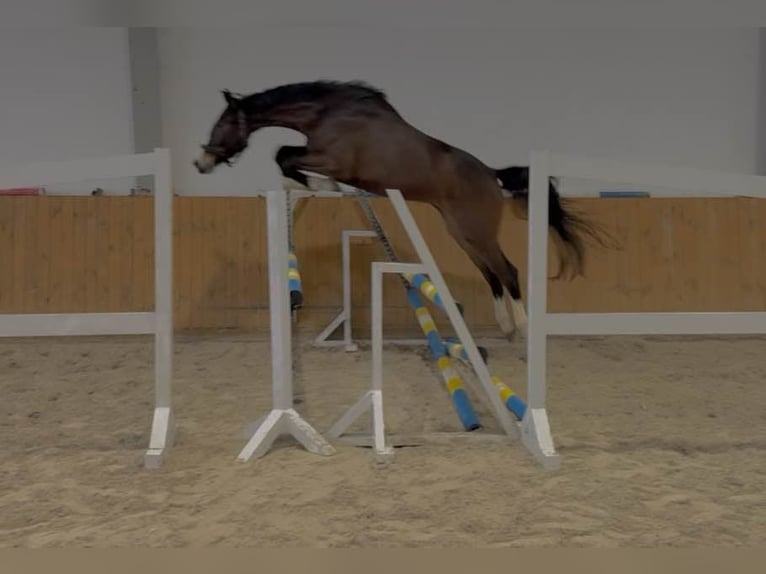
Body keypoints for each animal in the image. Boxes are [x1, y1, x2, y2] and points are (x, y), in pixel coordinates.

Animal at [193, 80, 610, 344]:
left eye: (222, 124)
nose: (201, 163)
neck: (327, 113)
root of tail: (491, 174)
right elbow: (285, 157)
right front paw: (309, 188)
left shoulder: (333, 160)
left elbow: (283, 154)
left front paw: (321, 187)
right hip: (461, 232)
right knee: (491, 273)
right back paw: (505, 326)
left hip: (476, 230)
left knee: (507, 271)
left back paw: (521, 329)